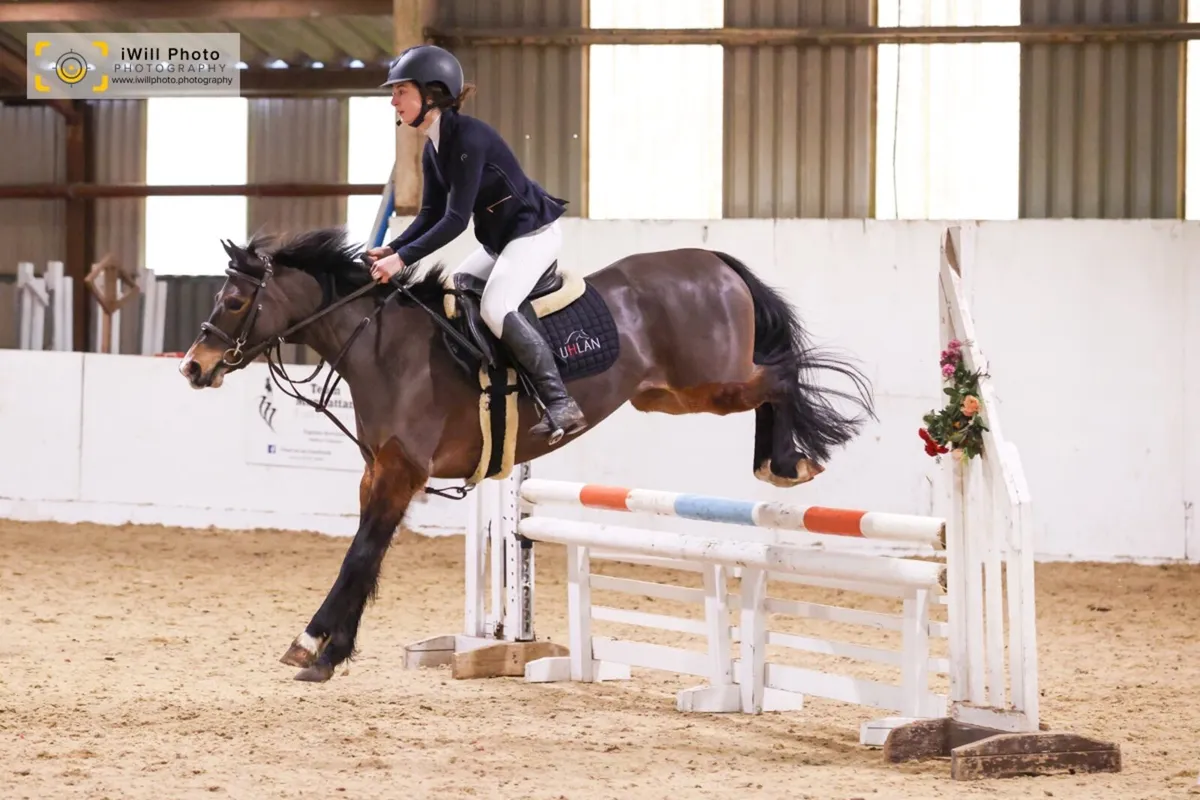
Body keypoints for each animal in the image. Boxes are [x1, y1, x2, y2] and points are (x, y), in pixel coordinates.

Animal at [179, 226, 876, 682]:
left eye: (234, 301)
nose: (193, 367)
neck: (380, 346)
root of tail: (713, 259)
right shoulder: (378, 470)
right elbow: (364, 559)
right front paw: (321, 643)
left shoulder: (401, 472)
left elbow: (359, 556)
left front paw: (320, 651)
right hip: (670, 396)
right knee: (771, 376)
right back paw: (784, 463)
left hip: (711, 384)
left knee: (779, 375)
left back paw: (786, 464)